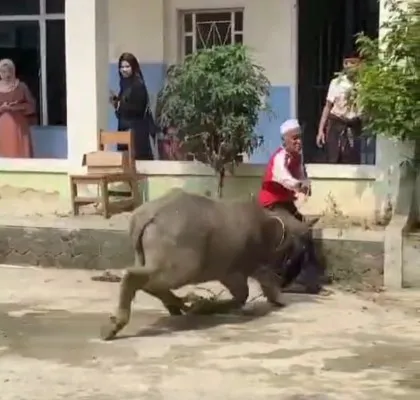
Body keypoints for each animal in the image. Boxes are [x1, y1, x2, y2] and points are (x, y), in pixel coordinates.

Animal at [100, 189, 296, 340]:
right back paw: (115, 325)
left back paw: (182, 303)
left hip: (145, 257)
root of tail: (149, 214)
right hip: (184, 265)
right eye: (287, 253)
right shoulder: (237, 269)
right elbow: (244, 293)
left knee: (149, 283)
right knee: (135, 277)